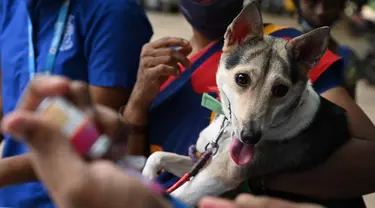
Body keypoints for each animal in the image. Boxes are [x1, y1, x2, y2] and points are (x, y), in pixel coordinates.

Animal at [142, 1, 352, 206]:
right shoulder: (203, 162)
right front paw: (147, 176)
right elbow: (156, 156)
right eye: (242, 78)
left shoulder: (220, 175)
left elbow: (170, 193)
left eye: (281, 90)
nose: (250, 137)